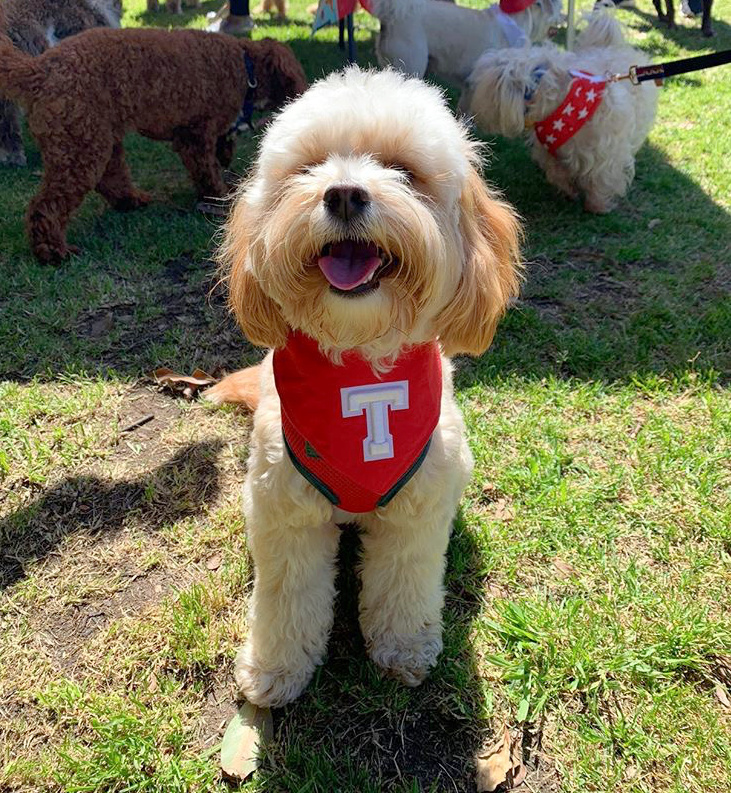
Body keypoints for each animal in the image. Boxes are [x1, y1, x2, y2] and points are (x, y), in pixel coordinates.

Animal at [0, 27, 308, 262]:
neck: (245, 68)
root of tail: (38, 69)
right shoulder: (194, 136)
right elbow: (206, 171)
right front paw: (220, 196)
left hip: (96, 137)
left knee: (110, 177)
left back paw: (130, 200)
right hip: (78, 147)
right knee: (45, 205)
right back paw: (51, 250)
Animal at [206, 68, 524, 704]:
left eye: (403, 169)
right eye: (310, 167)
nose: (344, 194)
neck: (357, 358)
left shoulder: (416, 512)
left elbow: (404, 584)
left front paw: (403, 647)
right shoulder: (285, 513)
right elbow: (286, 599)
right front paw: (276, 668)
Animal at [460, 15, 660, 213]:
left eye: (477, 86)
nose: (466, 87)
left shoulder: (605, 155)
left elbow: (600, 180)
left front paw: (598, 206)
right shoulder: (550, 151)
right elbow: (557, 173)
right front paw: (569, 191)